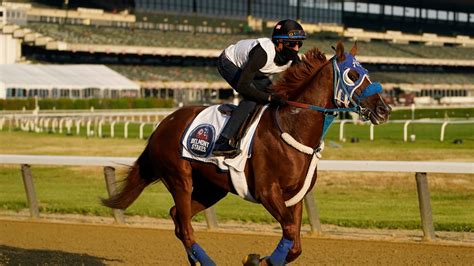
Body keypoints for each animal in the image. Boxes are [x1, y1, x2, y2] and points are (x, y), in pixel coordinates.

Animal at [102, 42, 390, 264]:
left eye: (367, 71)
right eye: (352, 74)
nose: (384, 110)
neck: (292, 127)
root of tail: (163, 124)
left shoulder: (294, 196)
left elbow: (294, 245)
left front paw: (260, 259)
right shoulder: (267, 191)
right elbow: (288, 232)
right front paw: (257, 261)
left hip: (212, 187)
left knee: (176, 216)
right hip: (179, 178)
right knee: (184, 226)